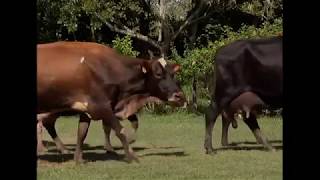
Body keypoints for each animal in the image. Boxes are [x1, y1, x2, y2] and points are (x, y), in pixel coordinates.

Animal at [37, 41, 186, 163]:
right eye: (158, 73)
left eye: (173, 74)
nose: (180, 97)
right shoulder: (101, 106)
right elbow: (120, 130)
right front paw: (132, 156)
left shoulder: (88, 108)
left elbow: (82, 133)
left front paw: (78, 159)